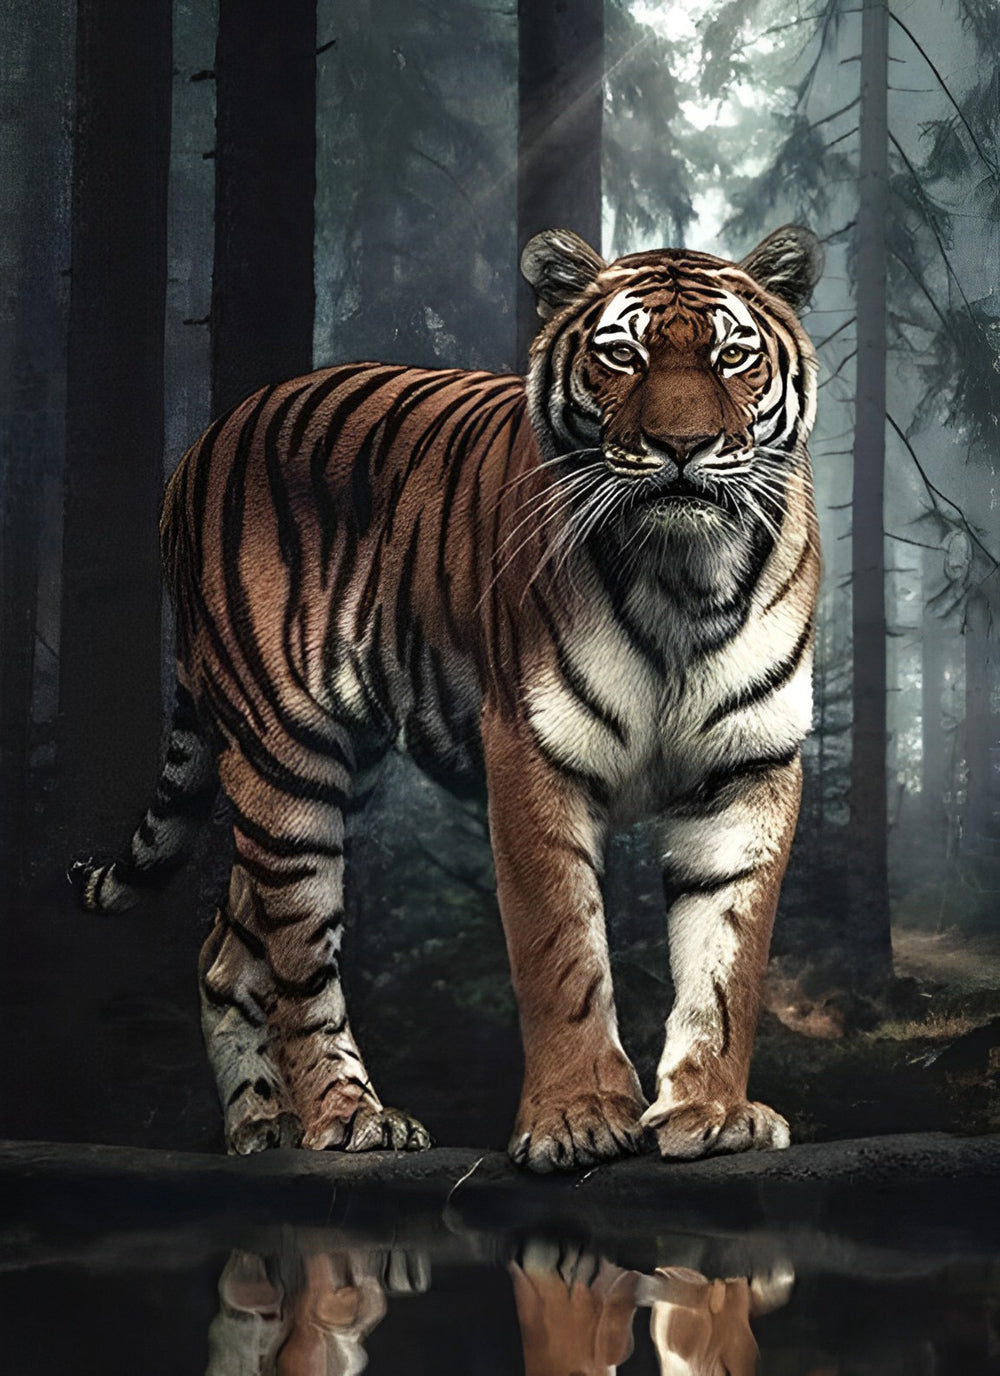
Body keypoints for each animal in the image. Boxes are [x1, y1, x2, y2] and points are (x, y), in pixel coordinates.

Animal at [71, 223, 822, 1172]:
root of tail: (205, 443)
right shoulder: (531, 750)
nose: (681, 447)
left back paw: (259, 1129)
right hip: (286, 762)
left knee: (227, 952)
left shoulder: (750, 765)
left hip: (322, 771)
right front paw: (576, 1119)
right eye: (622, 355)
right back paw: (348, 1119)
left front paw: (713, 1112)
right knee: (297, 961)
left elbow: (729, 956)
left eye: (733, 357)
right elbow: (561, 947)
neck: (682, 577)